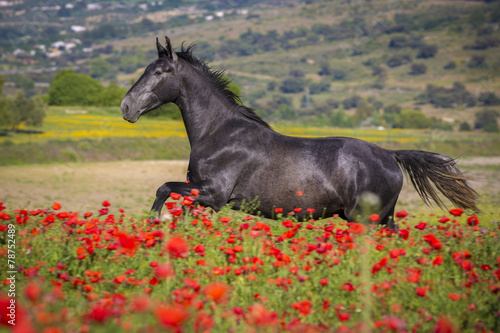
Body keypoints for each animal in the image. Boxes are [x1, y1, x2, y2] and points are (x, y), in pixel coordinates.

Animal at [119, 36, 478, 228]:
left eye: (160, 71)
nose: (125, 107)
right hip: (378, 218)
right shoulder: (201, 194)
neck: (219, 134)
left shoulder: (215, 193)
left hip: (366, 218)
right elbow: (180, 206)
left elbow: (164, 188)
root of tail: (391, 155)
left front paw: (154, 222)